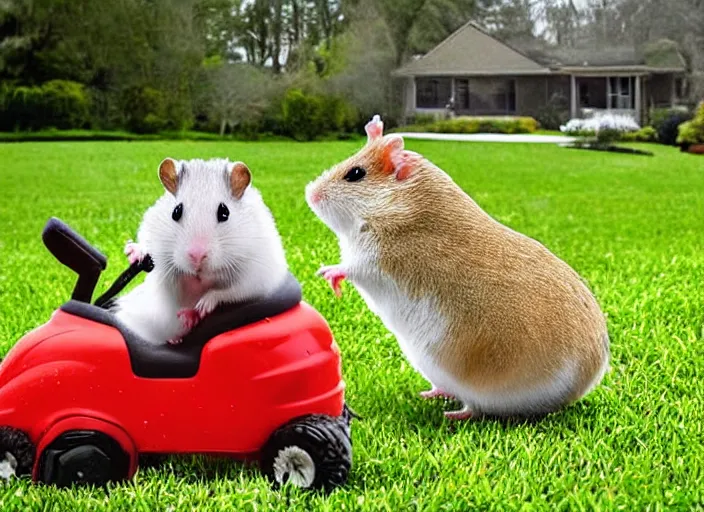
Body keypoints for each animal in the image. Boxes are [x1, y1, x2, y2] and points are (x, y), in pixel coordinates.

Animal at [306, 115, 608, 420]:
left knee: (474, 409)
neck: (397, 207)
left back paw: (450, 414)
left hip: (481, 389)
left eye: (355, 174)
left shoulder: (374, 261)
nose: (310, 192)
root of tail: (590, 376)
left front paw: (324, 274)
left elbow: (348, 267)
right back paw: (432, 394)